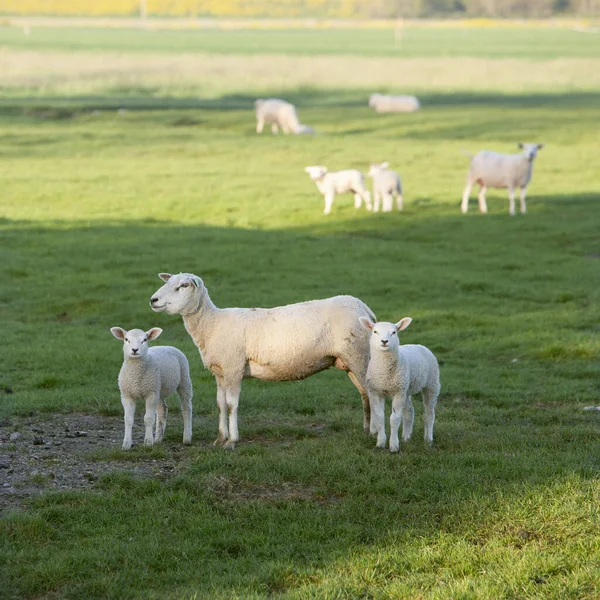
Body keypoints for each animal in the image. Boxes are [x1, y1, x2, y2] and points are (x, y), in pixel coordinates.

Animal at [150, 274, 376, 448]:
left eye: (183, 285)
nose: (153, 300)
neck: (211, 324)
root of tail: (362, 306)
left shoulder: (233, 367)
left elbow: (231, 405)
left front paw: (232, 441)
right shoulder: (220, 372)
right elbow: (220, 405)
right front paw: (219, 439)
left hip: (358, 355)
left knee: (372, 392)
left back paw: (375, 431)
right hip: (350, 360)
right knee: (364, 393)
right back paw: (367, 429)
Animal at [358, 316, 438, 452]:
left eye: (394, 332)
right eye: (375, 332)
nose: (384, 341)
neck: (385, 373)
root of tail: (418, 345)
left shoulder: (398, 393)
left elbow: (394, 419)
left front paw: (394, 446)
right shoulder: (376, 391)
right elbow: (379, 417)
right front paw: (380, 443)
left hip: (431, 385)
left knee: (429, 414)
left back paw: (428, 439)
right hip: (406, 388)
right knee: (410, 411)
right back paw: (406, 437)